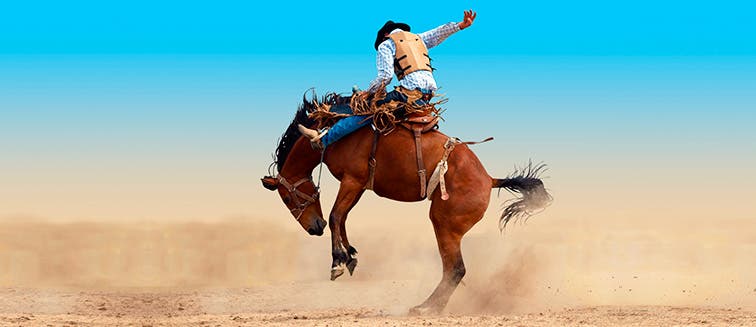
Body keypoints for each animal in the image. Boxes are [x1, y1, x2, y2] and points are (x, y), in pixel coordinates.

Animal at [260, 94, 548, 316]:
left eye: (287, 198)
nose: (313, 228)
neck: (333, 134)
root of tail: (489, 180)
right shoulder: (359, 185)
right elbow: (341, 218)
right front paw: (350, 256)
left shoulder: (352, 180)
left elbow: (334, 216)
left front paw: (337, 263)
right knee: (454, 270)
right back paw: (427, 306)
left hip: (444, 224)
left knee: (455, 269)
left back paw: (426, 308)